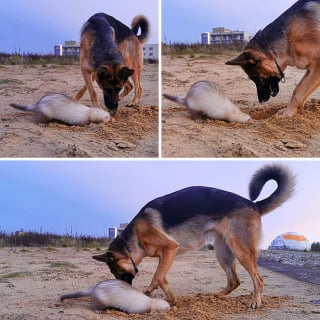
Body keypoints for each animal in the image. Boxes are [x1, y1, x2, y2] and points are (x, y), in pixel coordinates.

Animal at [93, 164, 296, 308]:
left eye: (116, 272)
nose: (123, 289)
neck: (134, 237)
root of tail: (253, 204)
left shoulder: (170, 249)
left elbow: (159, 276)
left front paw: (172, 299)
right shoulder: (164, 256)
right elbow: (156, 278)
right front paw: (149, 291)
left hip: (241, 251)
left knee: (258, 280)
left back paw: (255, 301)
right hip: (223, 254)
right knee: (235, 281)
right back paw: (217, 296)